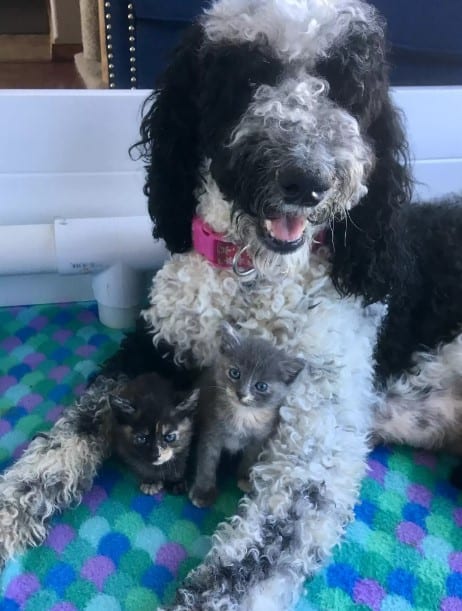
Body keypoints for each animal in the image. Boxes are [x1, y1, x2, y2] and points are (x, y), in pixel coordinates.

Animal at [0, 1, 462, 611]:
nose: (306, 180)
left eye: (345, 86)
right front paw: (11, 506)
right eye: (247, 76)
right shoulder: (151, 349)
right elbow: (70, 433)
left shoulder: (313, 444)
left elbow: (244, 568)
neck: (252, 273)